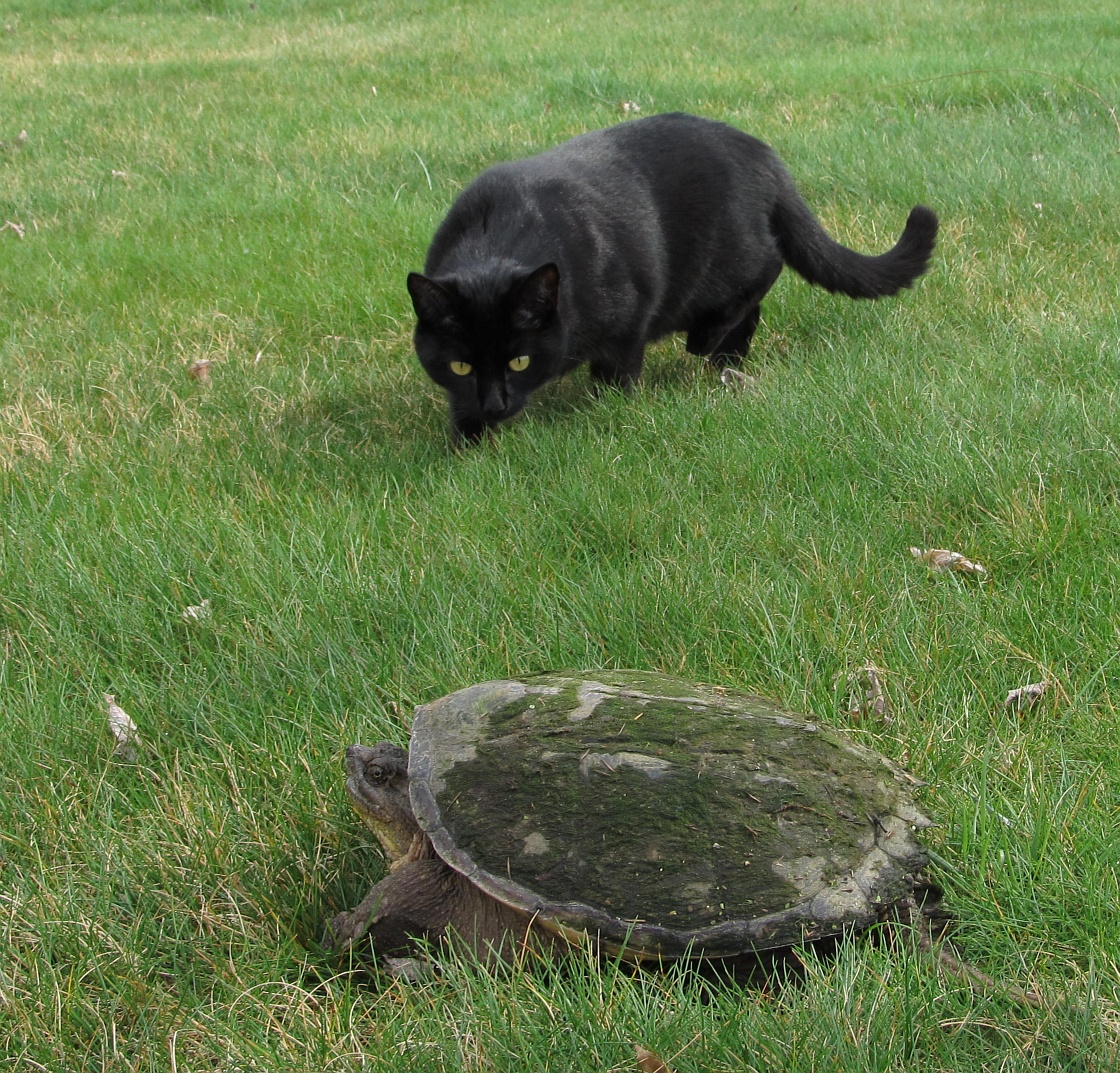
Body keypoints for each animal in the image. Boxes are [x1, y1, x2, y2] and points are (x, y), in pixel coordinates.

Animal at [405, 111, 936, 443]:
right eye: (459, 366)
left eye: (519, 361)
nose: (494, 405)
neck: (500, 234)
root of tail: (763, 153)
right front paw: (468, 442)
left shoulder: (629, 317)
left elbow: (617, 372)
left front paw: (611, 408)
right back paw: (728, 360)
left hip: (723, 260)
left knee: (767, 269)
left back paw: (708, 342)